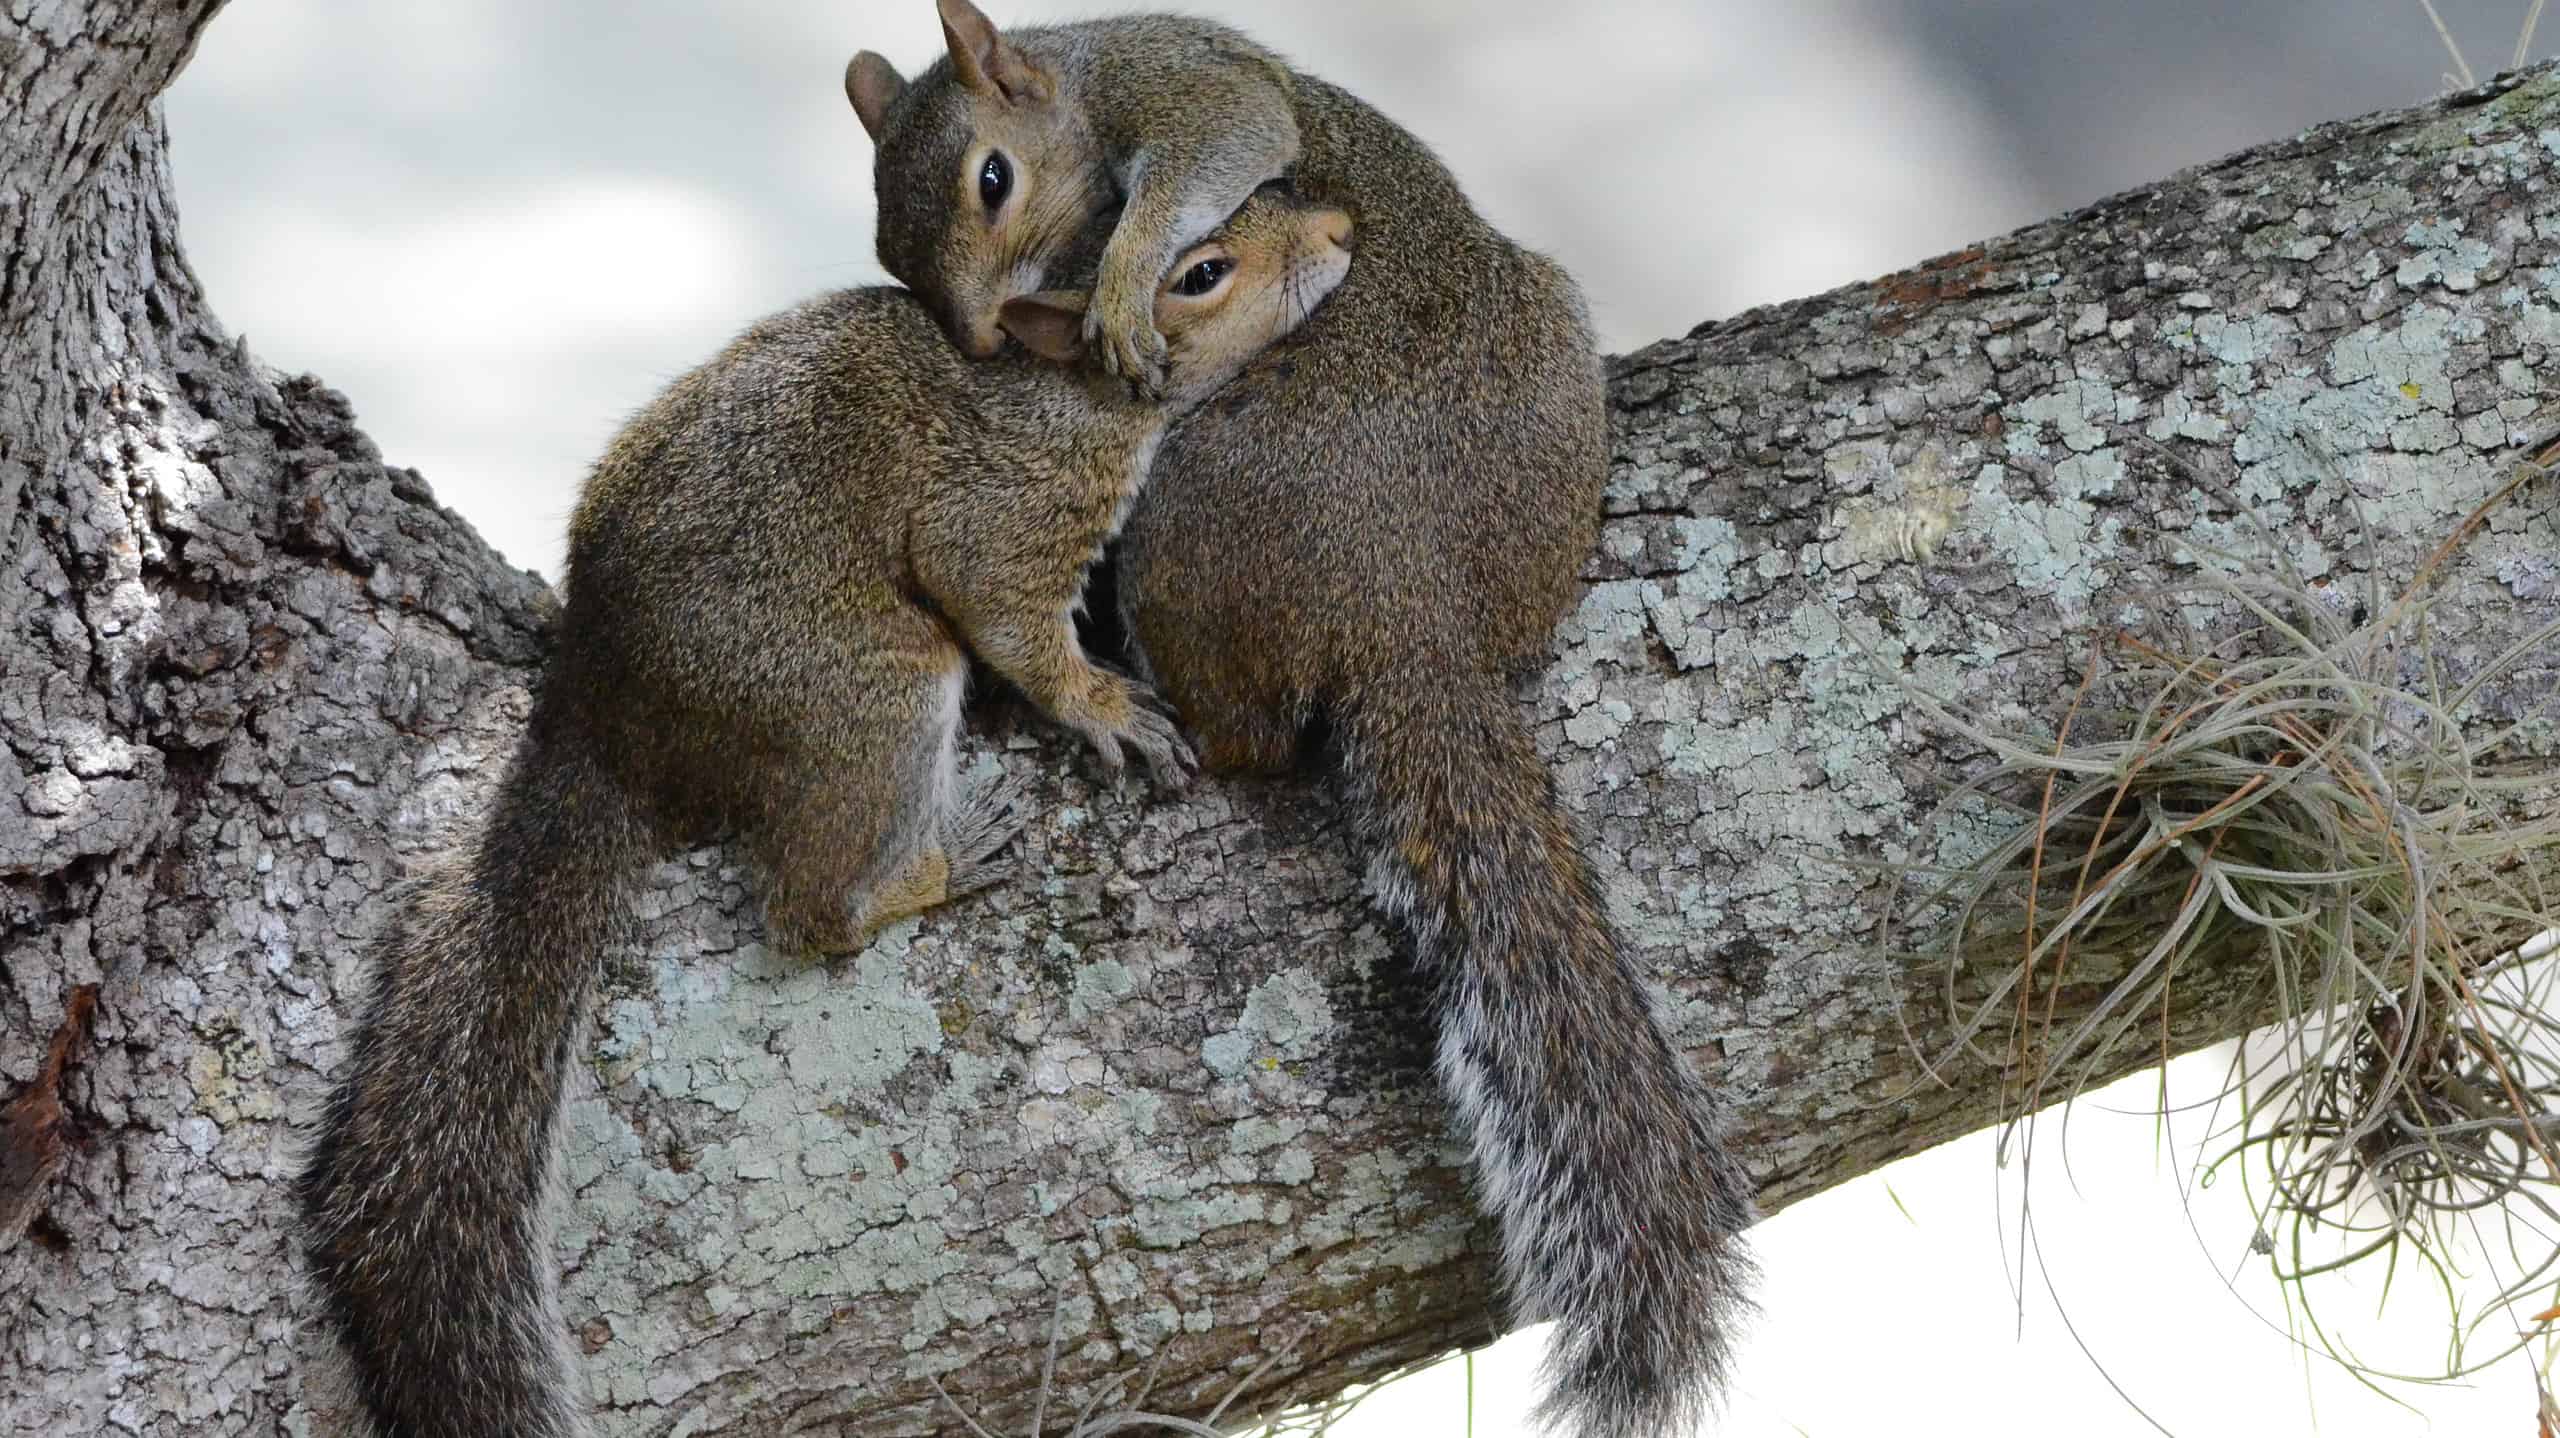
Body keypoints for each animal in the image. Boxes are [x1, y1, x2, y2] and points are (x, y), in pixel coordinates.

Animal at [290, 190, 1351, 1432]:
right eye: (1203, 272)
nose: (1339, 232)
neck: (1066, 392)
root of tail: (604, 715)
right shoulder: (1009, 506)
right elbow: (1010, 617)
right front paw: (1101, 706)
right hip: (869, 689)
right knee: (807, 909)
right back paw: (934, 867)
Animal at [855, 5, 1761, 1422]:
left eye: (991, 180)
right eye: (885, 239)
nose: (978, 336)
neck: (1073, 77)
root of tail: (1404, 587)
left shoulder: (1172, 78)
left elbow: (1228, 129)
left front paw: (1118, 284)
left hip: (1176, 535)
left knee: (1245, 742)